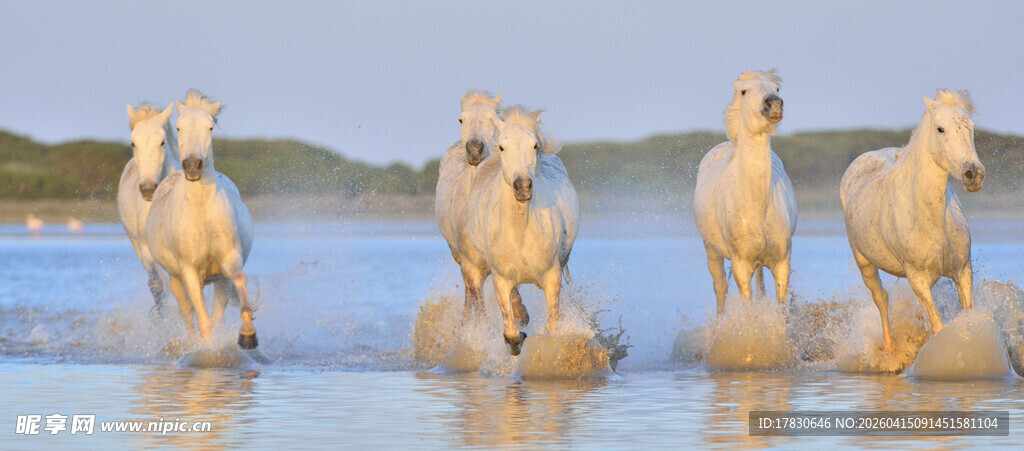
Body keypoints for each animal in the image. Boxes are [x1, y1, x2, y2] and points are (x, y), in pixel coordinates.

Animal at [146, 90, 258, 349]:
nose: (192, 166)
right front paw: (208, 350)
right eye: (178, 127)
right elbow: (201, 319)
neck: (201, 215)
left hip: (220, 282)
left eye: (210, 127)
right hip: (175, 278)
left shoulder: (229, 260)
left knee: (217, 313)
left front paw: (248, 334)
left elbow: (240, 279)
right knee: (187, 312)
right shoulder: (189, 271)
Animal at [435, 90, 529, 325]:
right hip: (458, 257)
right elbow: (479, 303)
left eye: (494, 119)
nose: (475, 149)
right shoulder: (471, 267)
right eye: (461, 119)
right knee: (469, 293)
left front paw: (521, 314)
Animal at [466, 105, 580, 355]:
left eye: (534, 145)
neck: (521, 234)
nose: (523, 186)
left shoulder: (552, 276)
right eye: (502, 146)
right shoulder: (501, 279)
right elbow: (510, 332)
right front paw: (519, 337)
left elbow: (553, 324)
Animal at [693, 70, 796, 314]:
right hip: (711, 251)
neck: (756, 208)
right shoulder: (741, 265)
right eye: (743, 91)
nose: (773, 104)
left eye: (777, 88)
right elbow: (748, 310)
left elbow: (782, 308)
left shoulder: (782, 262)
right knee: (720, 287)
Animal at [840, 89, 983, 352]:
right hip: (864, 262)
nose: (974, 174)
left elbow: (968, 317)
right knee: (880, 297)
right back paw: (889, 347)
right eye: (940, 129)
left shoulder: (963, 271)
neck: (930, 219)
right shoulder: (917, 279)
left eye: (971, 126)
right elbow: (938, 326)